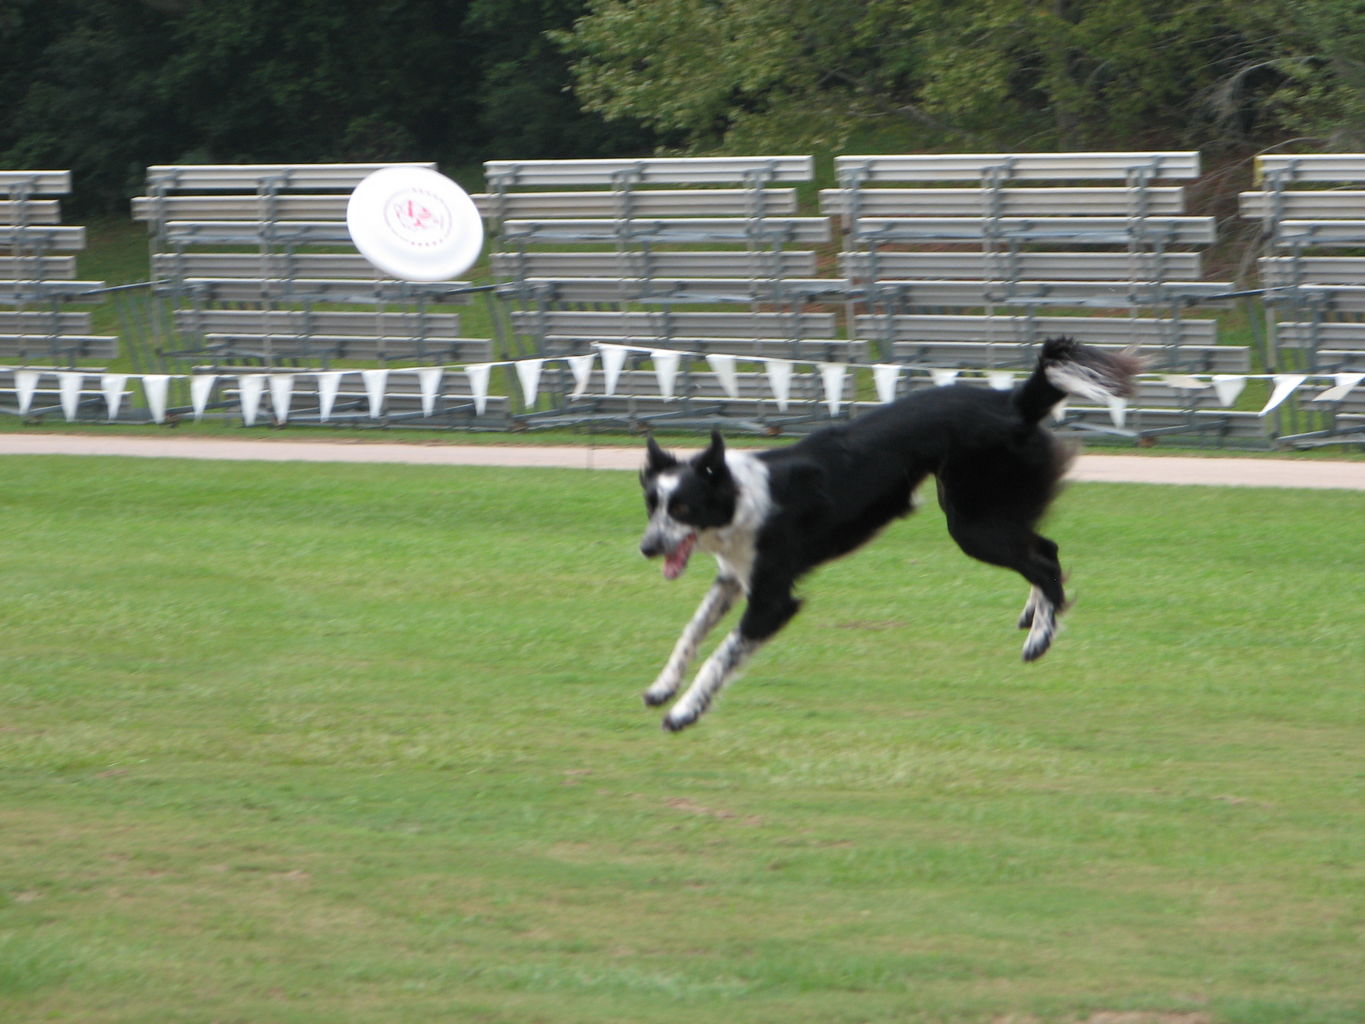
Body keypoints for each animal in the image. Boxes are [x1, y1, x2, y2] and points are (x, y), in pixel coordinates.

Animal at [638, 341, 1141, 731]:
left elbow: (720, 656)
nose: (646, 548)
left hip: (972, 525)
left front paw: (683, 713)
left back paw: (1040, 639)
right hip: (988, 515)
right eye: (651, 505)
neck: (740, 497)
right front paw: (663, 686)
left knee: (1045, 561)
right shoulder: (733, 578)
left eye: (681, 508)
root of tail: (1015, 399)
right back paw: (1034, 616)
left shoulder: (772, 600)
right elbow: (691, 633)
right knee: (1042, 552)